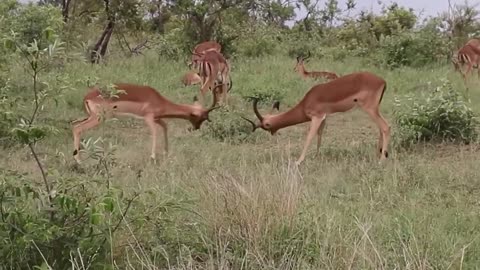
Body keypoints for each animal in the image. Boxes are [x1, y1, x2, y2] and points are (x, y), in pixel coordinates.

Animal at [71, 83, 219, 162]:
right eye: (202, 117)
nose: (196, 128)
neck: (159, 101)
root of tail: (87, 97)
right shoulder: (149, 118)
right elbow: (155, 132)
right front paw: (153, 157)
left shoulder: (157, 118)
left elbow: (165, 127)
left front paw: (165, 153)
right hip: (98, 118)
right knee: (77, 128)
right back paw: (78, 161)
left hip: (90, 117)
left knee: (74, 125)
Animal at [244, 71, 390, 165]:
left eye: (266, 126)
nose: (273, 133)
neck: (306, 102)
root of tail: (383, 81)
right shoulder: (324, 117)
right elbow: (320, 135)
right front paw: (316, 156)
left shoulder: (316, 117)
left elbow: (310, 136)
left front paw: (298, 161)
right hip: (375, 109)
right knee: (381, 128)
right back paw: (379, 154)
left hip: (369, 109)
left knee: (385, 126)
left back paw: (381, 160)